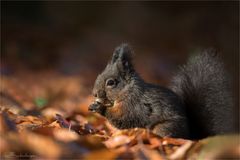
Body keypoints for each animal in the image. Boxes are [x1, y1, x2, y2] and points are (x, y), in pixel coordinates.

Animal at [89, 43, 235, 139]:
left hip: (164, 128)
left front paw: (101, 109)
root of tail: (190, 136)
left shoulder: (135, 105)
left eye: (111, 82)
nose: (94, 93)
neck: (127, 91)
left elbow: (125, 117)